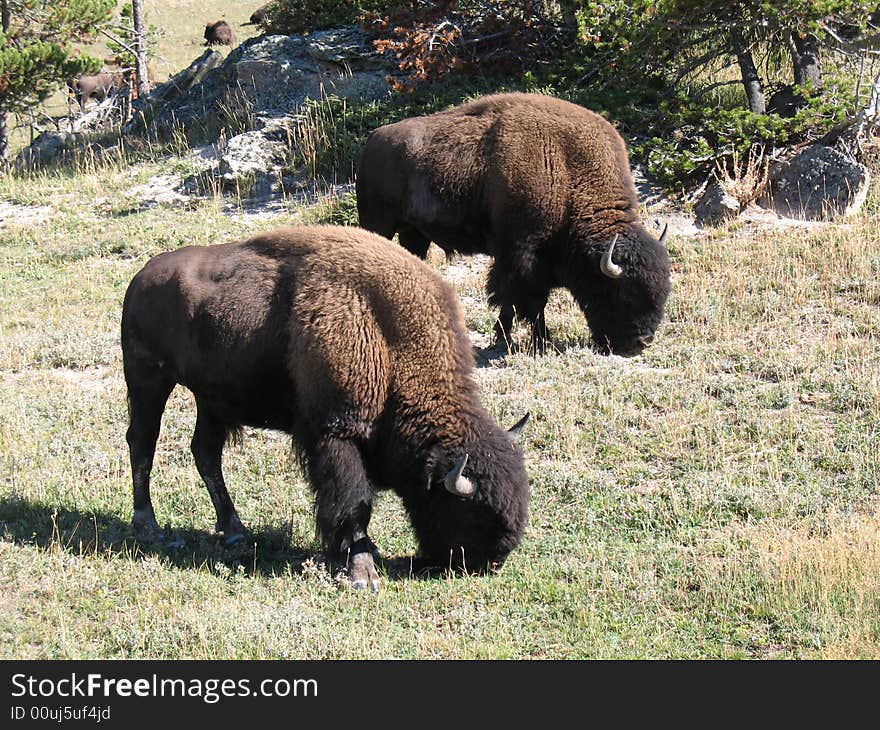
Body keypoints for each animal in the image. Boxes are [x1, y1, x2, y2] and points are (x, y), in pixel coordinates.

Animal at [118, 225, 528, 588]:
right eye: (473, 515)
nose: (489, 562)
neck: (392, 342)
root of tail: (141, 278)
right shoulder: (335, 434)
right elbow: (354, 502)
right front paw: (362, 572)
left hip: (212, 400)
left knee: (205, 452)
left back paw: (234, 528)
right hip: (148, 381)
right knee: (143, 443)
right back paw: (148, 524)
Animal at [354, 92, 672, 354]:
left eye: (663, 292)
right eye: (623, 293)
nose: (641, 343)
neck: (569, 173)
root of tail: (372, 141)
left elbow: (516, 300)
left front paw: (517, 338)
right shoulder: (522, 256)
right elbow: (525, 299)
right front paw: (531, 341)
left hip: (415, 234)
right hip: (379, 224)